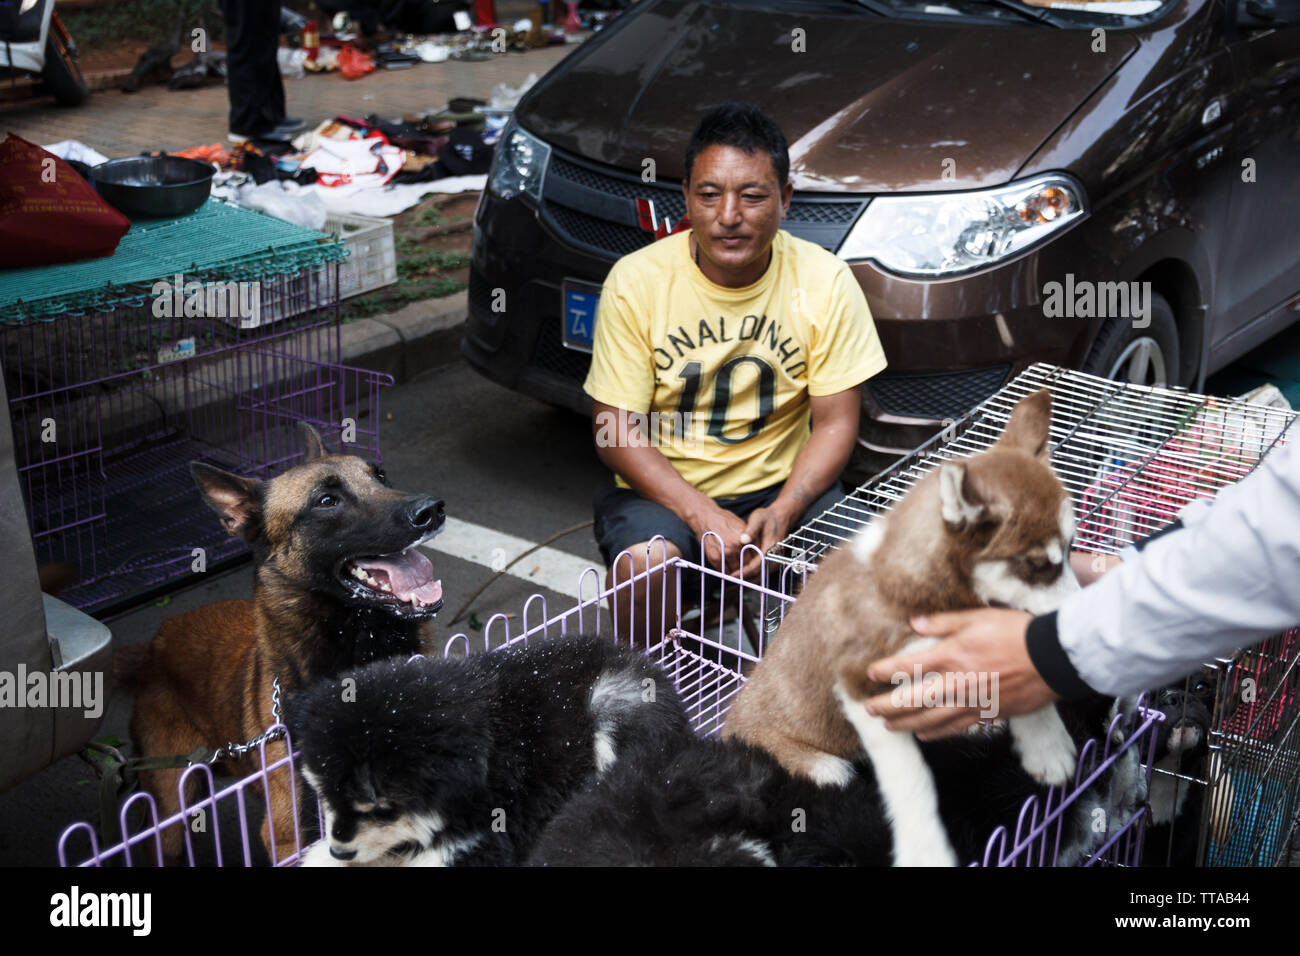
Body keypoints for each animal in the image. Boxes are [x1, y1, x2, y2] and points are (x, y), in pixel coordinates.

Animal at [728, 390, 1081, 868]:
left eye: (1071, 548)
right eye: (1037, 565)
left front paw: (1046, 744)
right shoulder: (865, 691)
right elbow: (913, 784)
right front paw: (926, 850)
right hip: (822, 766)